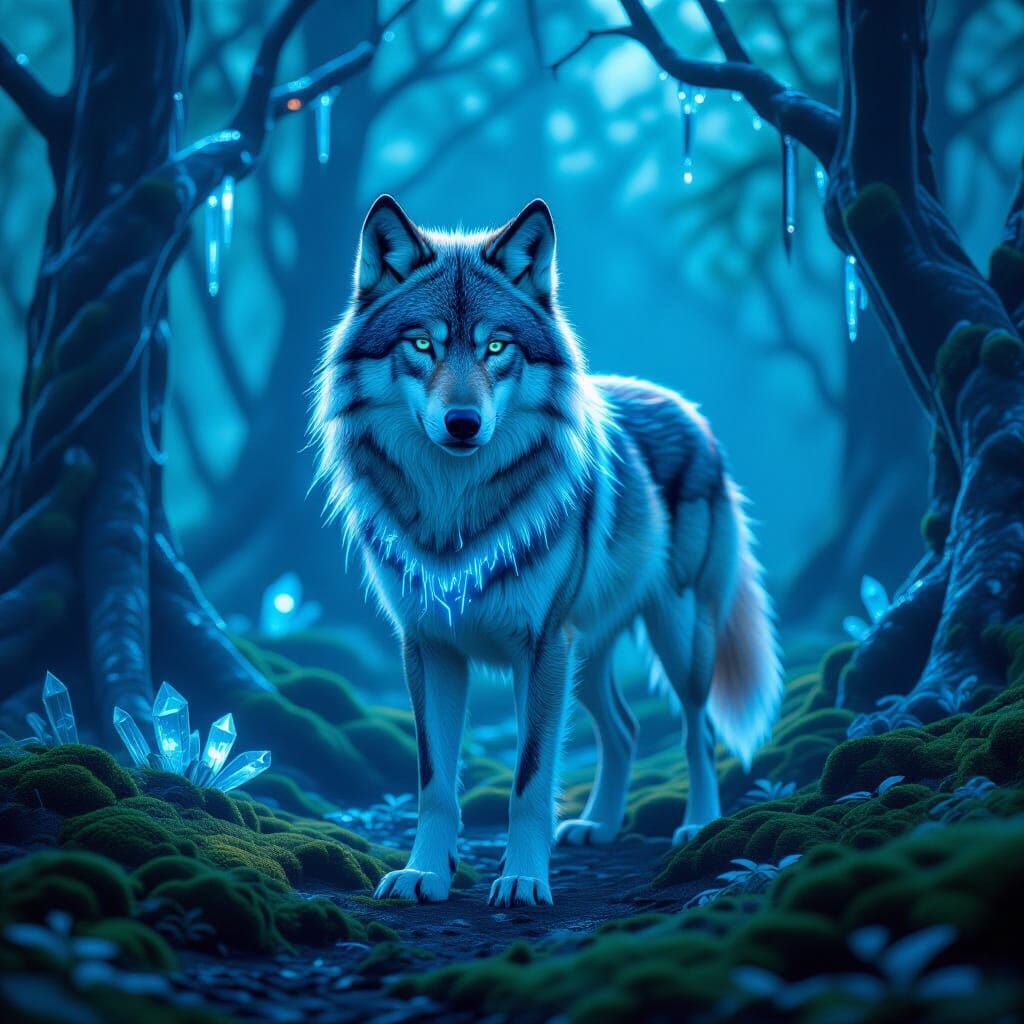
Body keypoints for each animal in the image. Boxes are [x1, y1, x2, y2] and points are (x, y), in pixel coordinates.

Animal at [312, 195, 782, 907]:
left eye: (495, 347)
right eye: (422, 344)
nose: (463, 424)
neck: (455, 511)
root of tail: (685, 406)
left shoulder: (538, 646)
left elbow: (529, 779)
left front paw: (523, 880)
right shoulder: (431, 646)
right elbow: (434, 780)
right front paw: (426, 872)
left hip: (674, 637)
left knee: (696, 728)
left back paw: (699, 824)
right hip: (584, 655)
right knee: (627, 728)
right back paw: (598, 826)